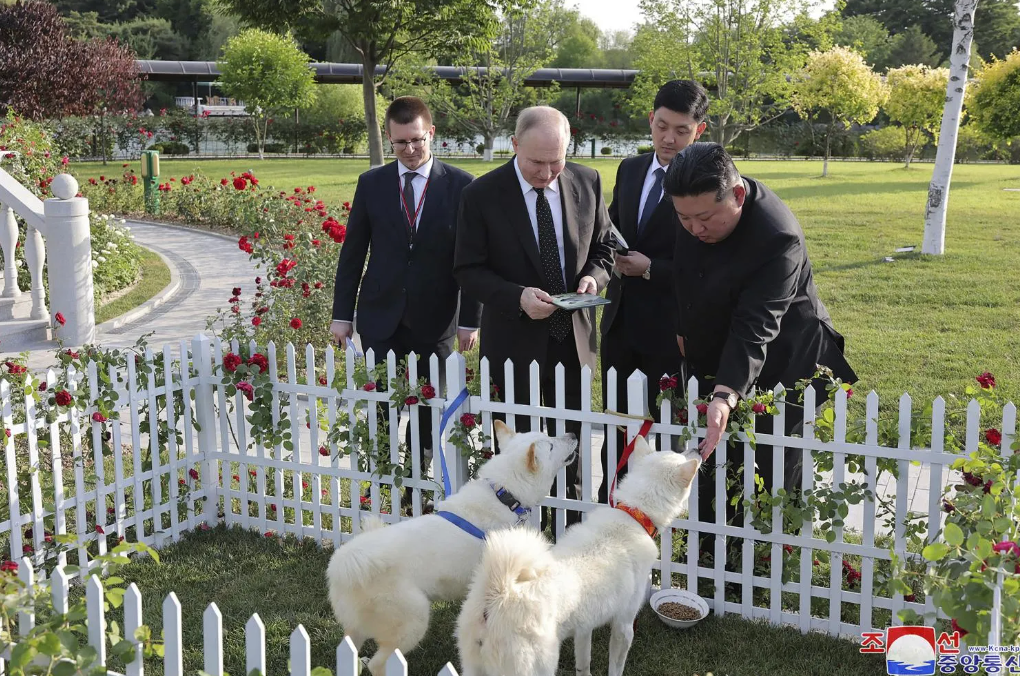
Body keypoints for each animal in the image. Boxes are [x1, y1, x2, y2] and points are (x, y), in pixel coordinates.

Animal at [326, 420, 577, 675]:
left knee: (349, 650)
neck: (504, 495)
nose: (572, 434)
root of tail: (342, 564)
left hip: (357, 627)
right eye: (550, 445)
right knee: (379, 662)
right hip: (414, 619)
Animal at [456, 436, 700, 676]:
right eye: (680, 454)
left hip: (473, 667)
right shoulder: (624, 625)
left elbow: (583, 662)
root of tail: (499, 593)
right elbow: (616, 666)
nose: (698, 449)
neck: (634, 514)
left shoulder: (585, 627)